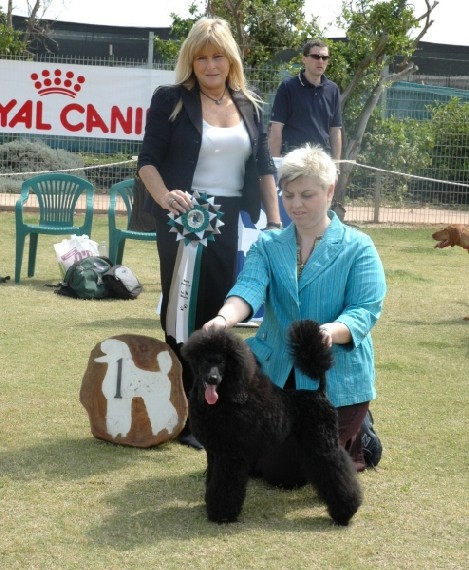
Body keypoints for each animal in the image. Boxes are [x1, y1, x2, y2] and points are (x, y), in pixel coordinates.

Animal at [181, 320, 362, 526]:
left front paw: (222, 514)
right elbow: (212, 478)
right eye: (205, 361)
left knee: (336, 469)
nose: (212, 379)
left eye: (221, 362)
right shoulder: (214, 451)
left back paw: (345, 512)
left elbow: (225, 484)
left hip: (322, 442)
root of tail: (320, 393)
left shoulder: (231, 454)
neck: (222, 400)